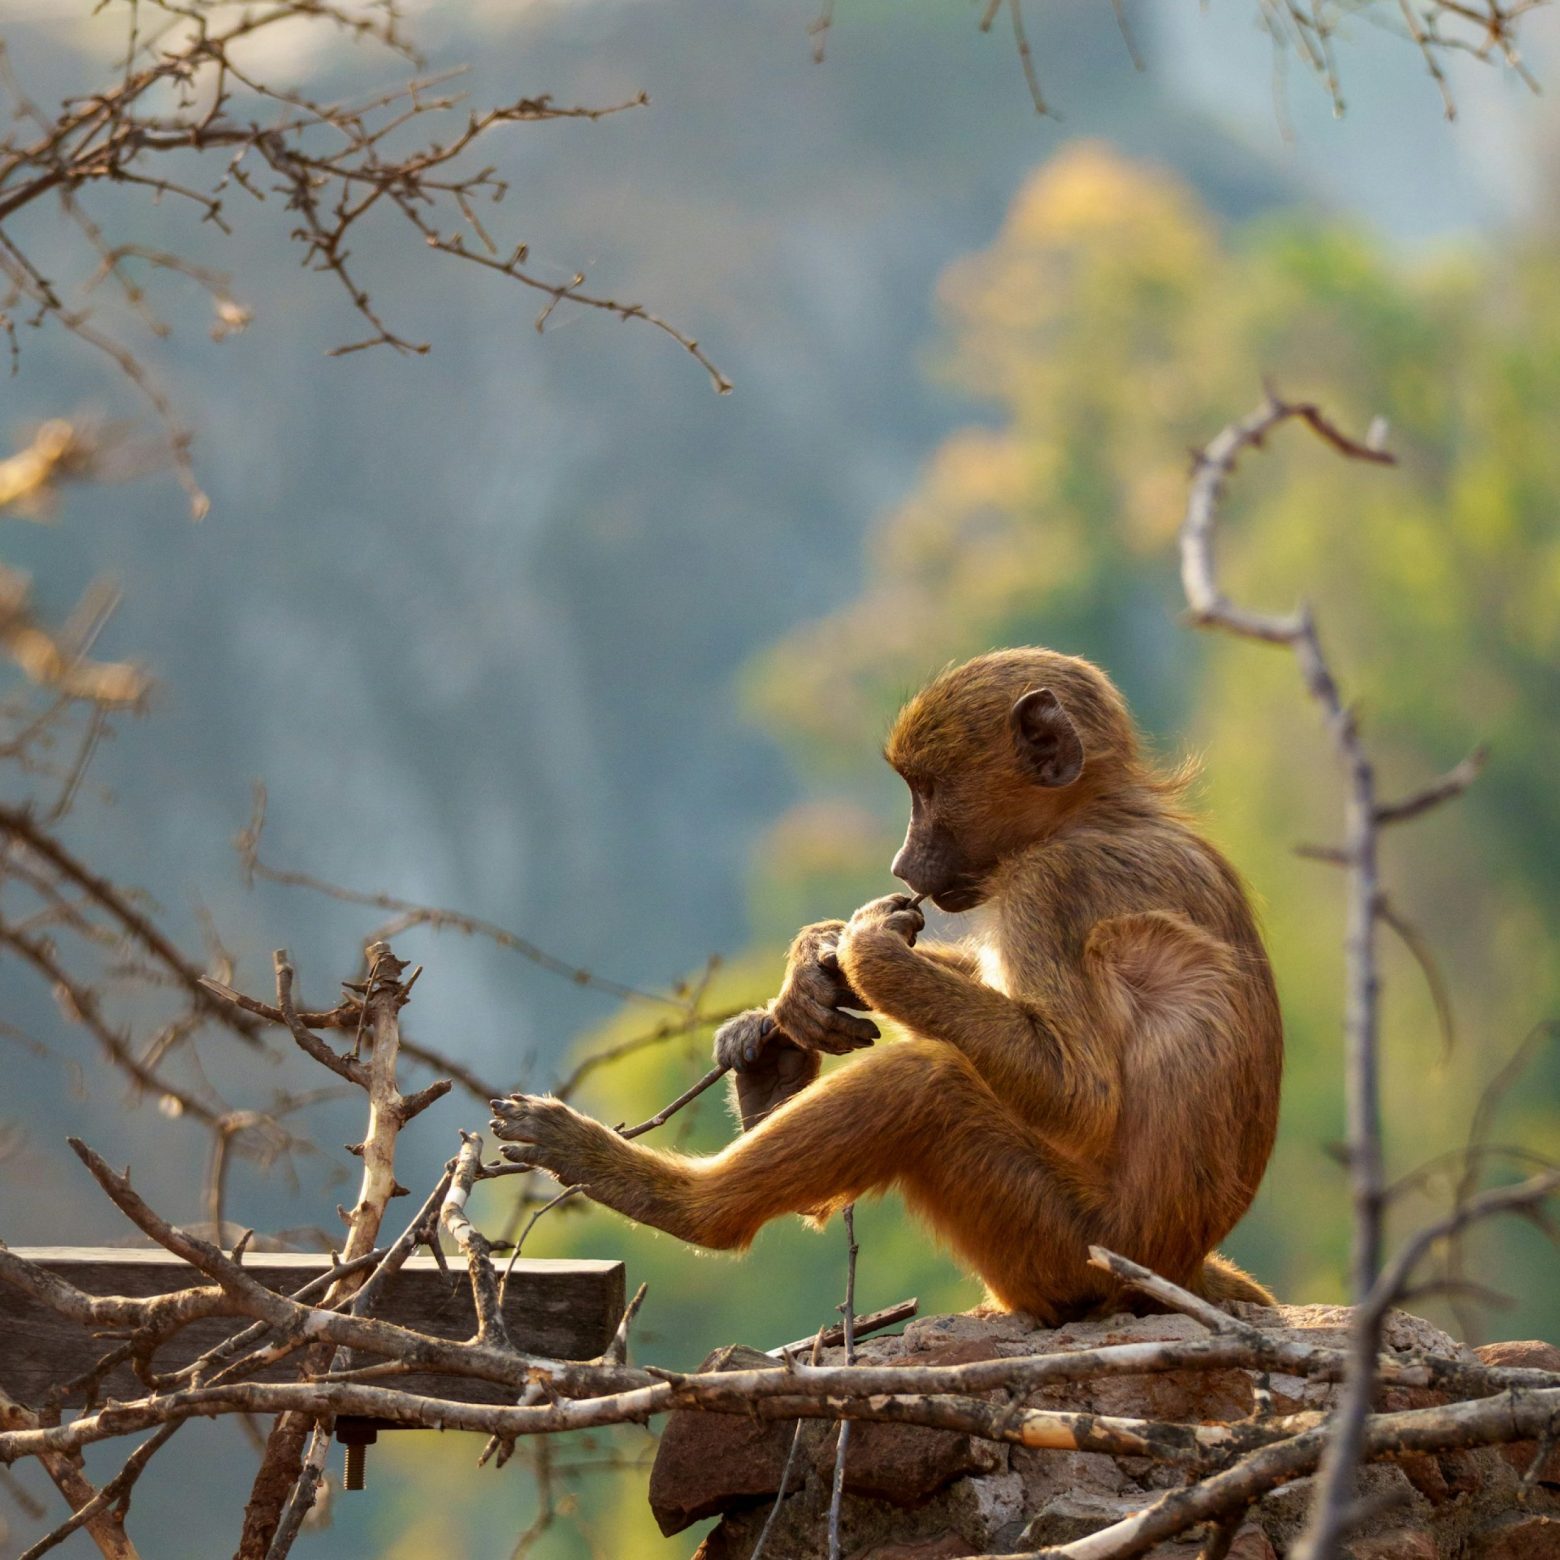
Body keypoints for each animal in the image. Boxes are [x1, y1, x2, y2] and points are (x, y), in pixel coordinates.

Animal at [490, 648, 1282, 1322]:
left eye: (927, 790)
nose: (903, 866)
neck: (1093, 813)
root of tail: (1178, 1268)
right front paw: (809, 977)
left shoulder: (1052, 886)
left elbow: (1081, 1093)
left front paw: (864, 946)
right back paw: (770, 1080)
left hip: (1067, 1248)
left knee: (927, 1085)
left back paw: (681, 1203)